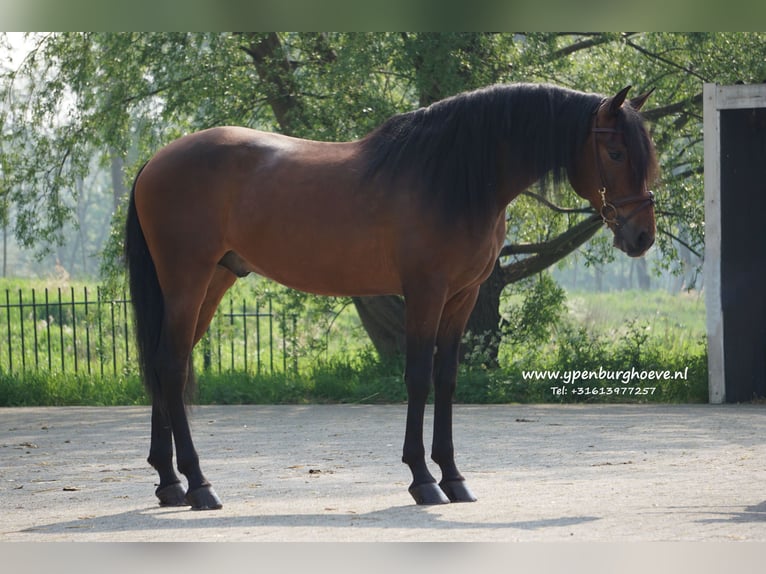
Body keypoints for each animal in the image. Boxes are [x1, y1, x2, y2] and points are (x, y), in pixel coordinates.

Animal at [126, 83, 660, 510]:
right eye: (615, 153)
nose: (642, 237)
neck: (453, 174)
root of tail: (155, 160)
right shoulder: (425, 292)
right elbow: (418, 377)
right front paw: (422, 479)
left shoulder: (462, 297)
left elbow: (446, 379)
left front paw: (454, 477)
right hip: (187, 281)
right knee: (171, 366)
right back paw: (199, 485)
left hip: (212, 283)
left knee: (165, 364)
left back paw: (170, 483)